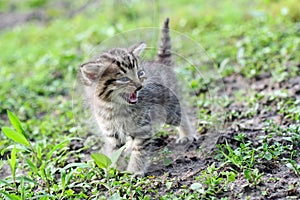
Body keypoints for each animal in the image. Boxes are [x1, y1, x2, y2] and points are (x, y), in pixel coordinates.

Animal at [79, 18, 197, 176]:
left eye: (140, 73)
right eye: (124, 79)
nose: (140, 86)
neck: (116, 108)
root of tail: (161, 64)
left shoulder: (143, 128)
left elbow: (139, 150)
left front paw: (134, 171)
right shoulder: (111, 132)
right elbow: (116, 151)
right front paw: (117, 169)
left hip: (169, 109)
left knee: (181, 114)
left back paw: (186, 135)